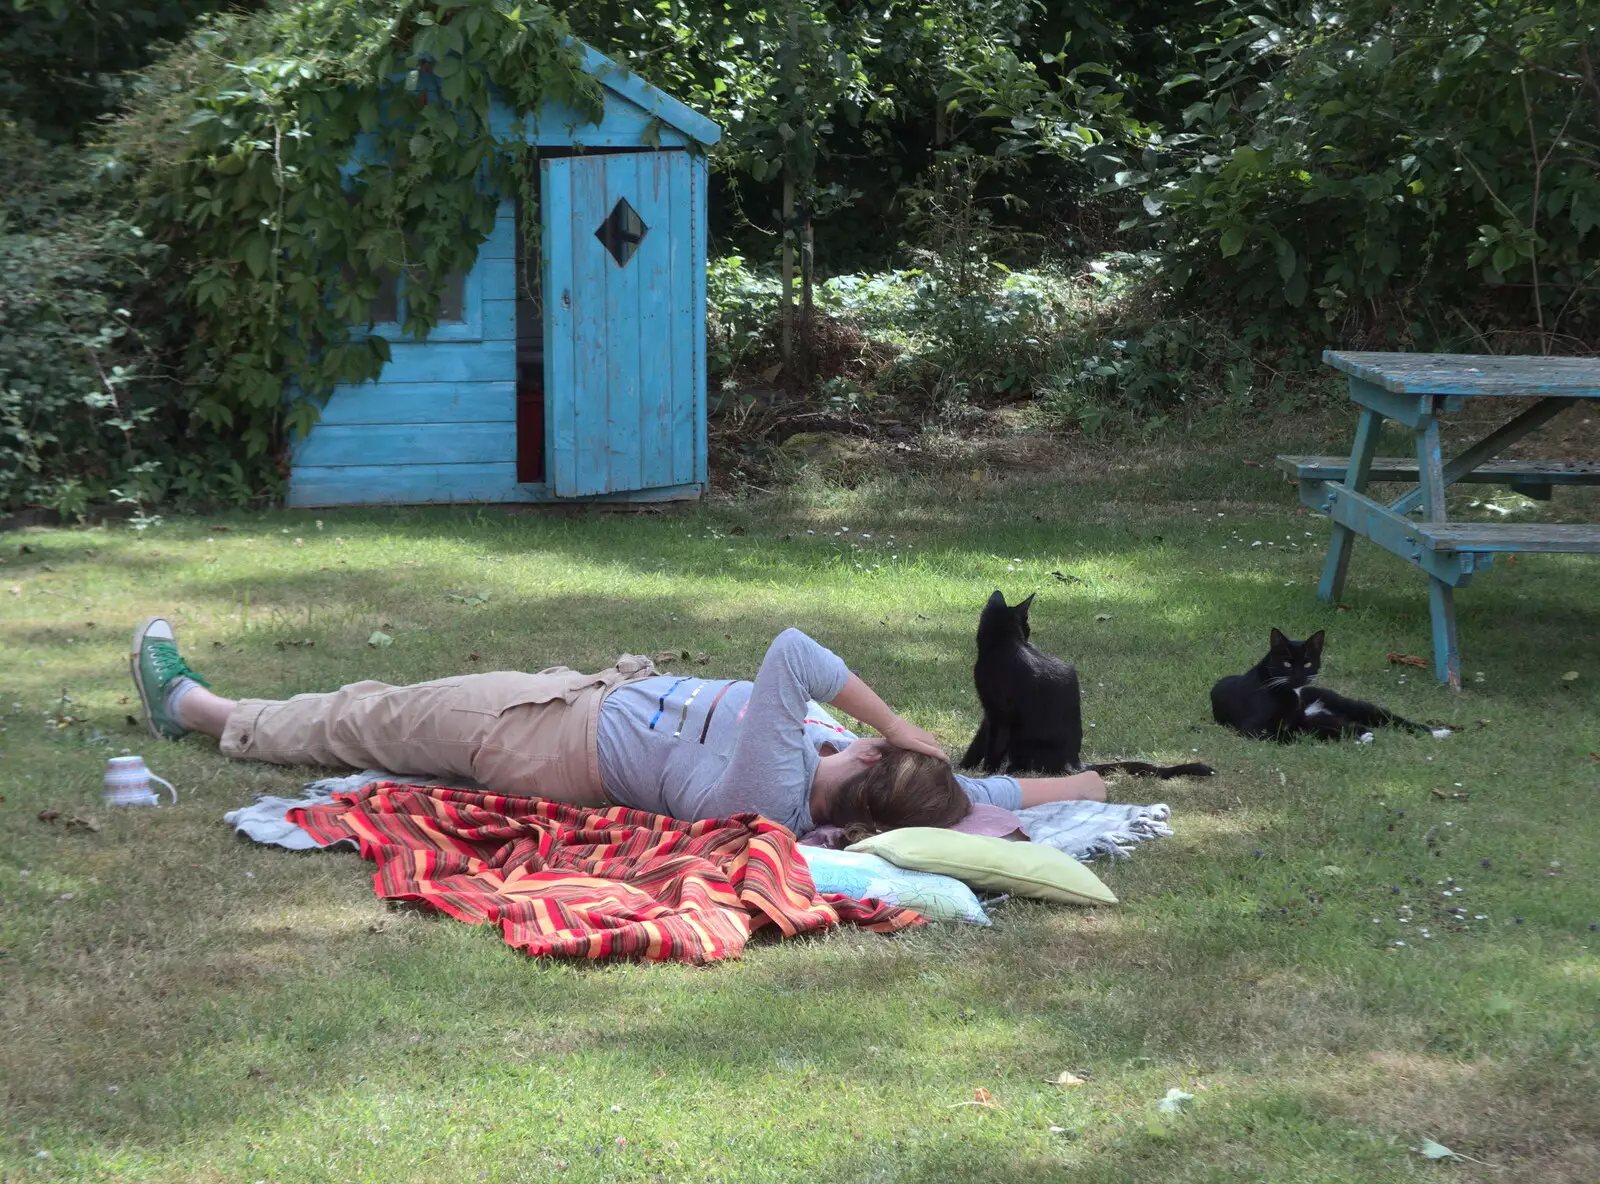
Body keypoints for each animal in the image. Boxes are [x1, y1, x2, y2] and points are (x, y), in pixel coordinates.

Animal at [960, 588, 1209, 777]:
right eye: (1027, 627)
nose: (1029, 633)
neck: (1005, 645)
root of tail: (1075, 763)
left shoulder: (999, 715)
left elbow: (993, 748)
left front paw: (985, 773)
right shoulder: (989, 714)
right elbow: (978, 742)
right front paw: (964, 767)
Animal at [1209, 630, 1452, 739]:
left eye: (1308, 663)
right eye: (1287, 663)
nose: (1300, 677)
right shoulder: (1257, 729)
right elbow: (1300, 731)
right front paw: (1359, 735)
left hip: (1345, 703)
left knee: (1387, 717)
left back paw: (1438, 731)